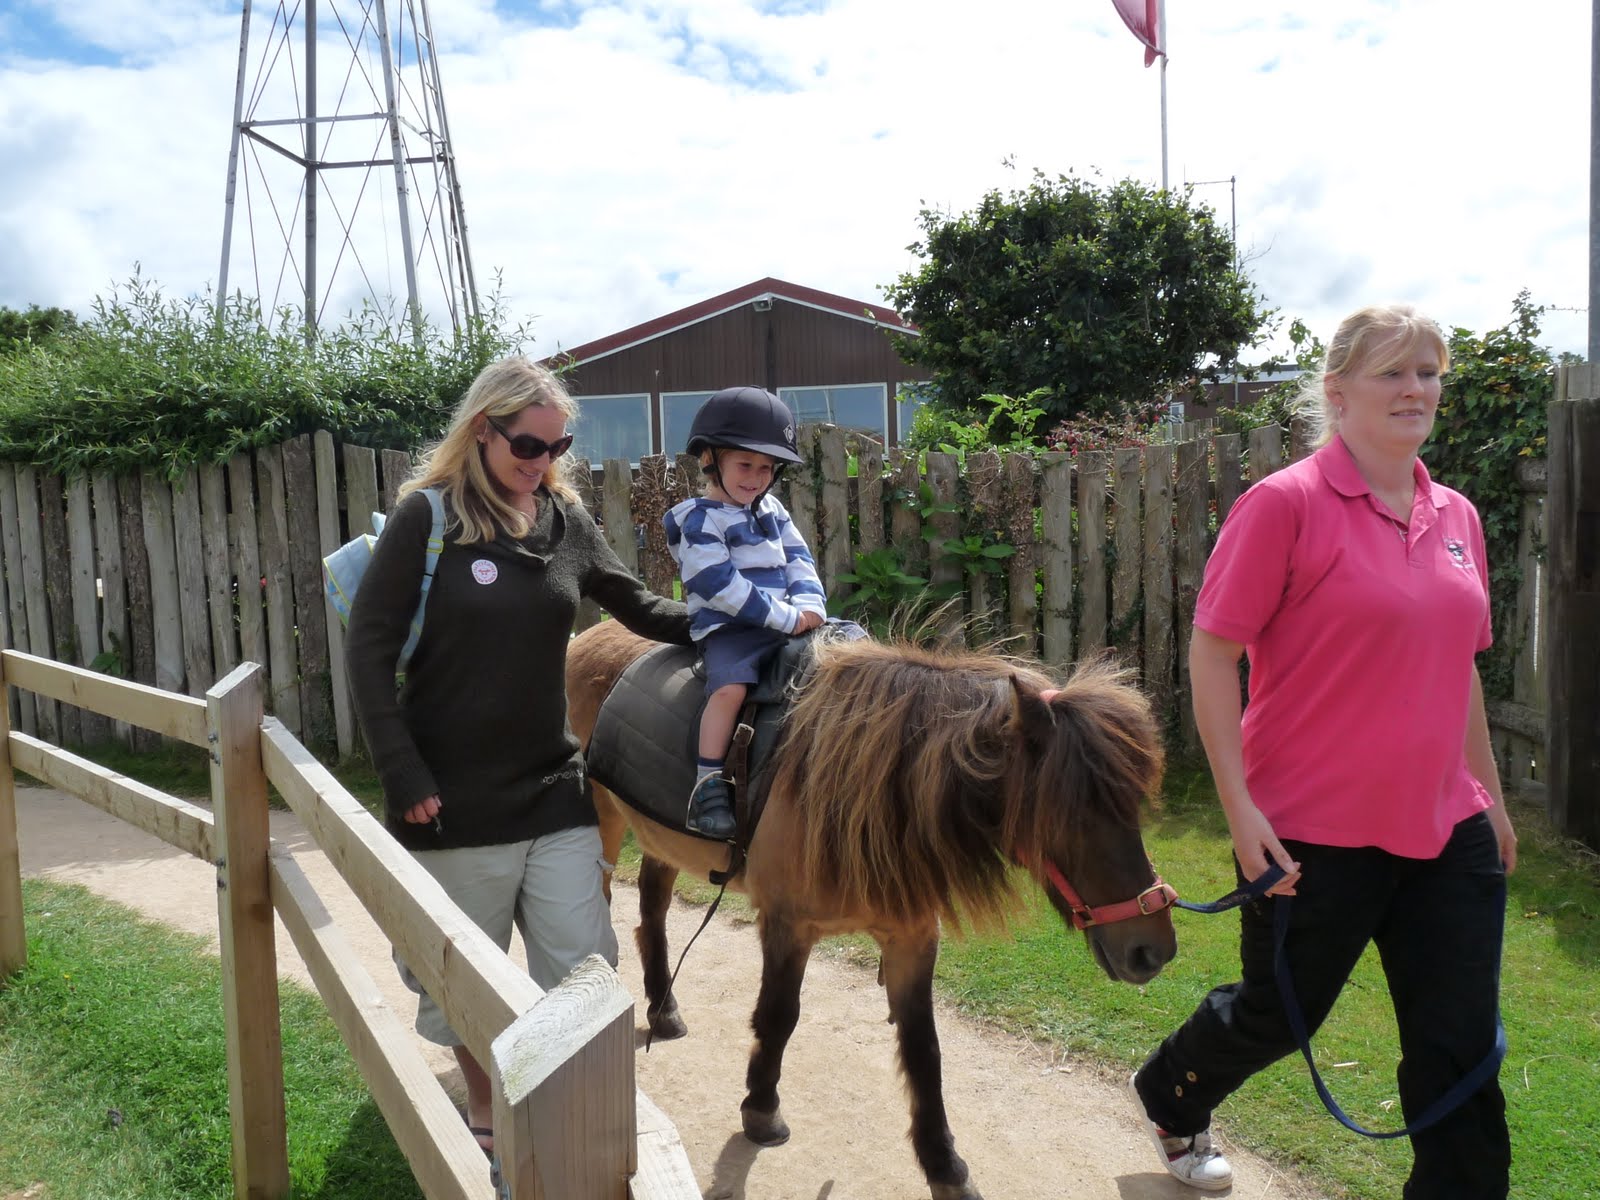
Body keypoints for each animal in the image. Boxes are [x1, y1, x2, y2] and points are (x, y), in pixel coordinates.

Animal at [567, 619, 1178, 1200]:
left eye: (1133, 808)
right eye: (1072, 814)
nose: (1153, 949)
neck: (865, 790)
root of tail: (587, 634)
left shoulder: (912, 939)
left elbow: (924, 1050)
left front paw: (944, 1164)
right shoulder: (788, 926)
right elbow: (779, 1017)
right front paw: (762, 1110)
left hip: (658, 840)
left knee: (652, 912)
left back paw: (662, 1009)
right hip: (603, 825)